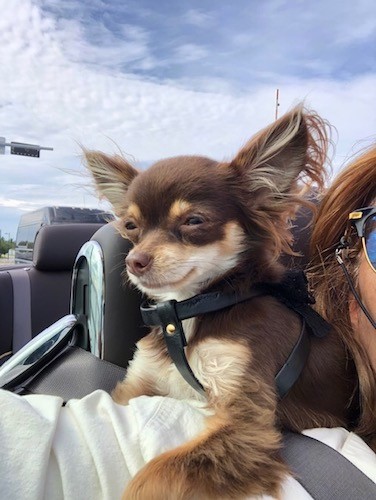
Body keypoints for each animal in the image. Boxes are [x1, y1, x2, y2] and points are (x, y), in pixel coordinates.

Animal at [84, 105, 356, 500]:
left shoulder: (247, 423)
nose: (135, 261)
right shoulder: (136, 386)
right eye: (131, 225)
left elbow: (154, 475)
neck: (189, 311)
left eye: (194, 221)